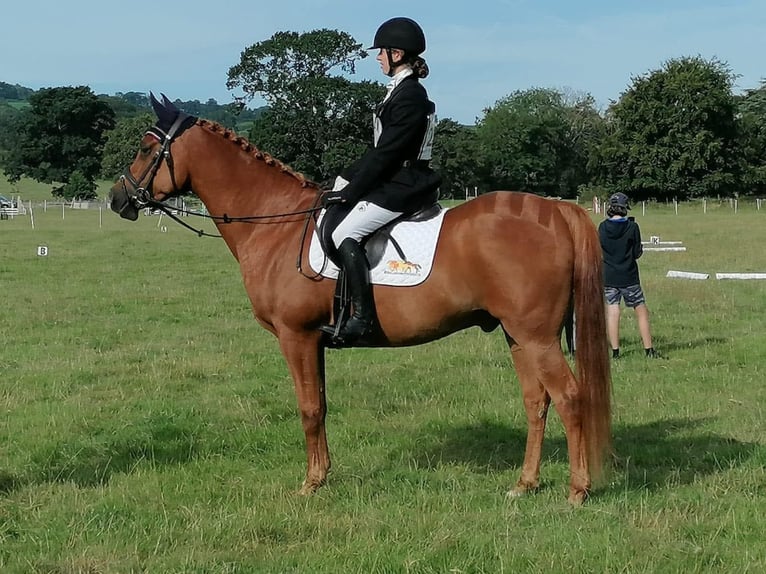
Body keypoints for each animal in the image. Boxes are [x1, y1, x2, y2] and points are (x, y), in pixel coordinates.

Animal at [109, 95, 611, 504]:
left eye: (146, 149)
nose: (117, 199)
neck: (275, 223)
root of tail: (555, 211)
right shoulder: (313, 340)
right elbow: (321, 405)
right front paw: (324, 474)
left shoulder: (295, 336)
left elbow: (309, 408)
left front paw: (310, 483)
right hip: (518, 335)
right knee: (536, 401)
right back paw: (525, 484)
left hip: (537, 337)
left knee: (570, 397)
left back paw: (577, 490)